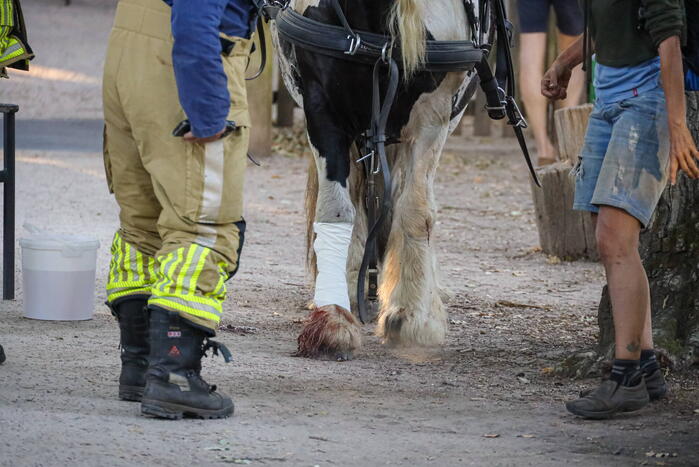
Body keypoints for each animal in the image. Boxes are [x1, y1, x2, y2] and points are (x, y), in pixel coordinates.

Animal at [272, 0, 489, 359]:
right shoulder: (321, 105)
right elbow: (336, 210)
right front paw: (333, 318)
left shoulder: (433, 115)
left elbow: (415, 210)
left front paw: (413, 314)